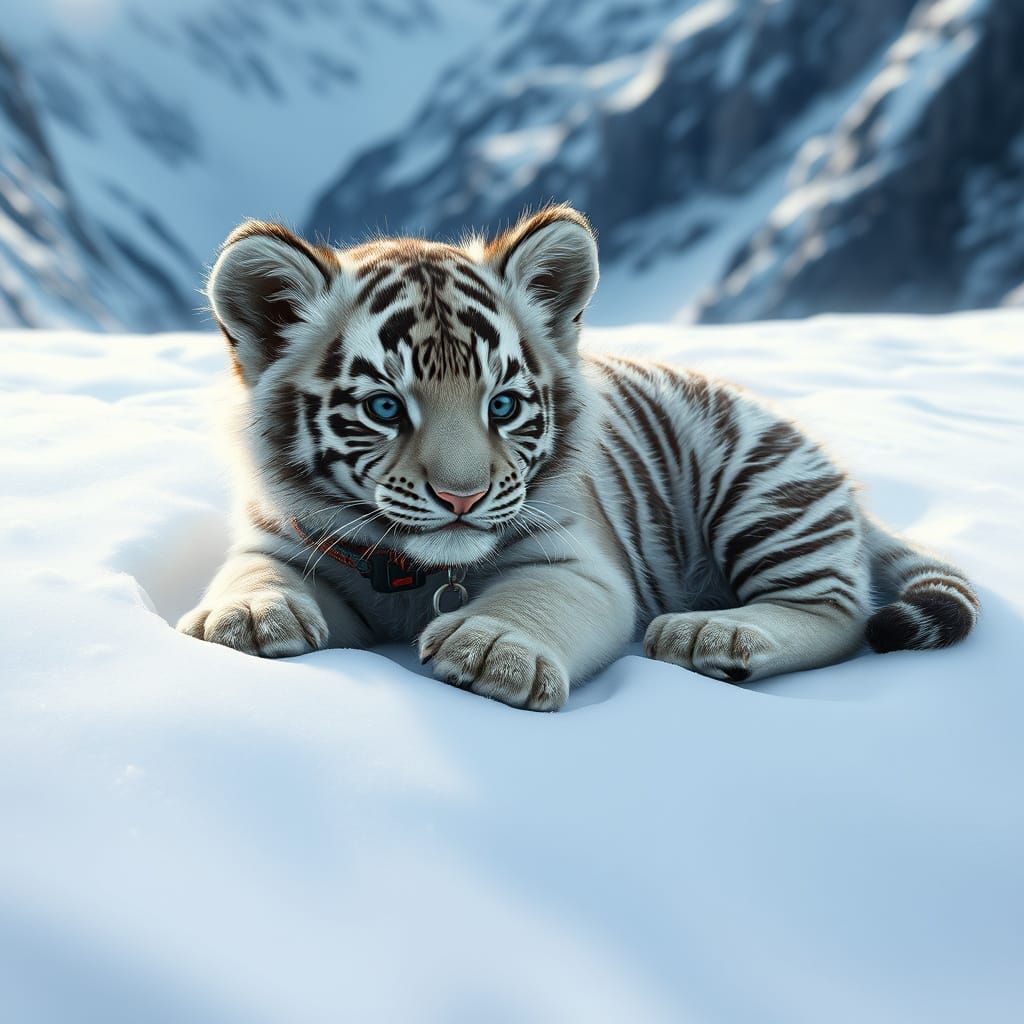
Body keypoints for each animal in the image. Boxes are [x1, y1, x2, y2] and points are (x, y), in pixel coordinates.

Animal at [177, 205, 979, 710]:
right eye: (385, 408)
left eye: (503, 406)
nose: (462, 499)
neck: (411, 575)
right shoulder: (281, 537)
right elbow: (256, 570)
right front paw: (246, 615)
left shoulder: (580, 562)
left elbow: (536, 597)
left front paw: (492, 646)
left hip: (759, 490)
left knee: (837, 611)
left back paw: (711, 632)